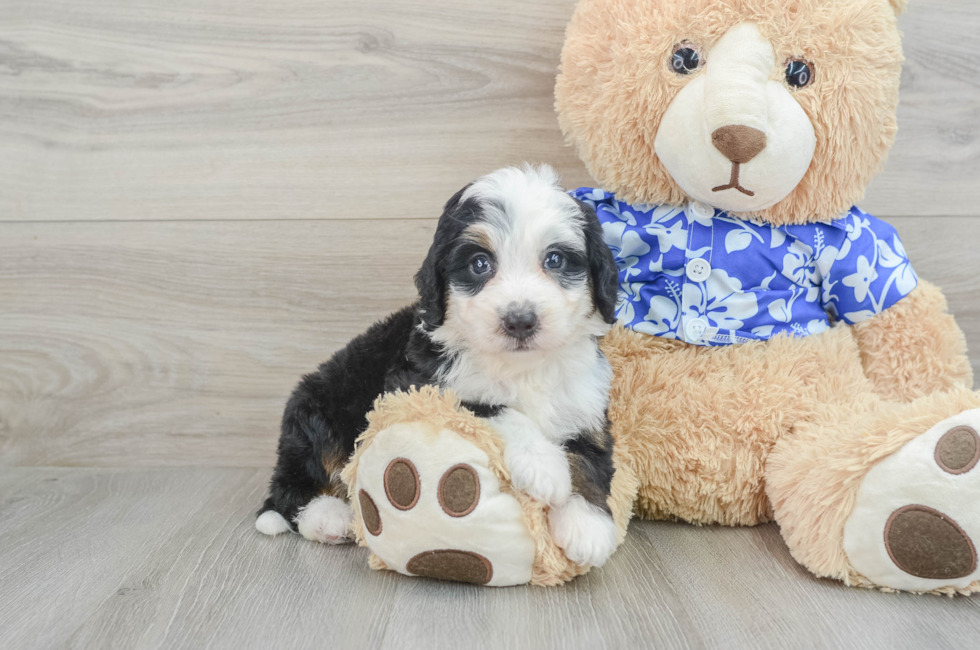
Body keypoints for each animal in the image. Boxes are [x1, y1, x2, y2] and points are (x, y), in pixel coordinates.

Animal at [255, 165, 620, 564]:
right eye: (479, 264)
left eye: (555, 260)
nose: (520, 320)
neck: (522, 367)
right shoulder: (419, 386)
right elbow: (492, 407)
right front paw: (543, 464)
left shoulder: (585, 402)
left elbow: (591, 458)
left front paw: (588, 526)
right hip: (319, 412)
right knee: (291, 488)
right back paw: (327, 517)